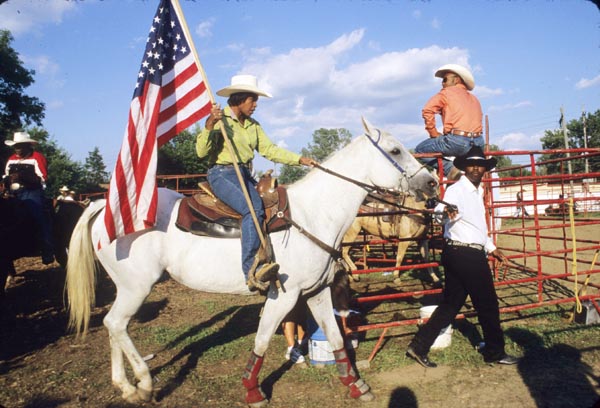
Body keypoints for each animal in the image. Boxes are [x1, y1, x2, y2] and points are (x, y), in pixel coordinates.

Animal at [65, 118, 438, 404]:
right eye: (395, 150)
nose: (432, 181)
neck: (314, 213)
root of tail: (103, 205)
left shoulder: (317, 292)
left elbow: (335, 338)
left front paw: (356, 385)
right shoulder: (283, 295)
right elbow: (261, 341)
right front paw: (252, 391)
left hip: (126, 287)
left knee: (115, 326)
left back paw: (125, 387)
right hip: (136, 285)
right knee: (116, 324)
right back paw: (142, 384)